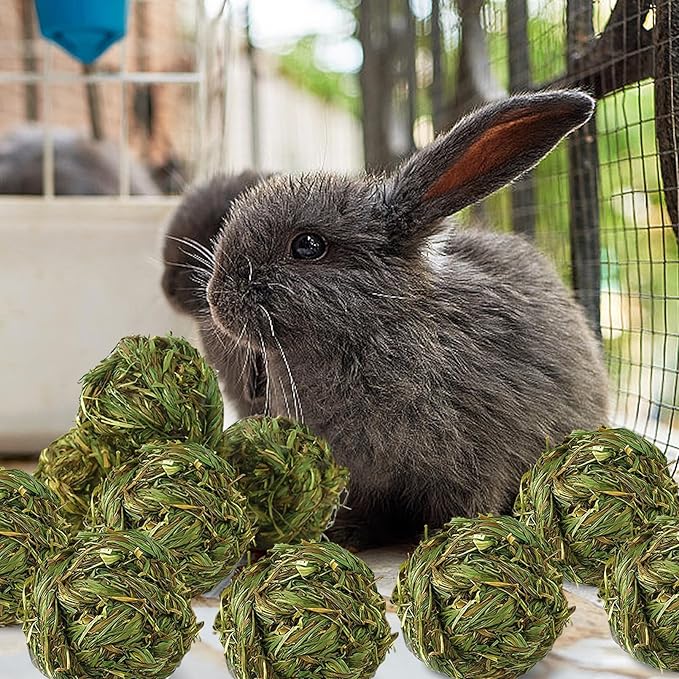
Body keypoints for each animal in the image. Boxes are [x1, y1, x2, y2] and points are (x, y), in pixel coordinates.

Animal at [163, 90, 609, 549]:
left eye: (308, 246)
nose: (216, 300)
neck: (373, 327)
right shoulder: (357, 478)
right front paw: (344, 537)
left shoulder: (479, 462)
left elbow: (469, 500)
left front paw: (443, 538)